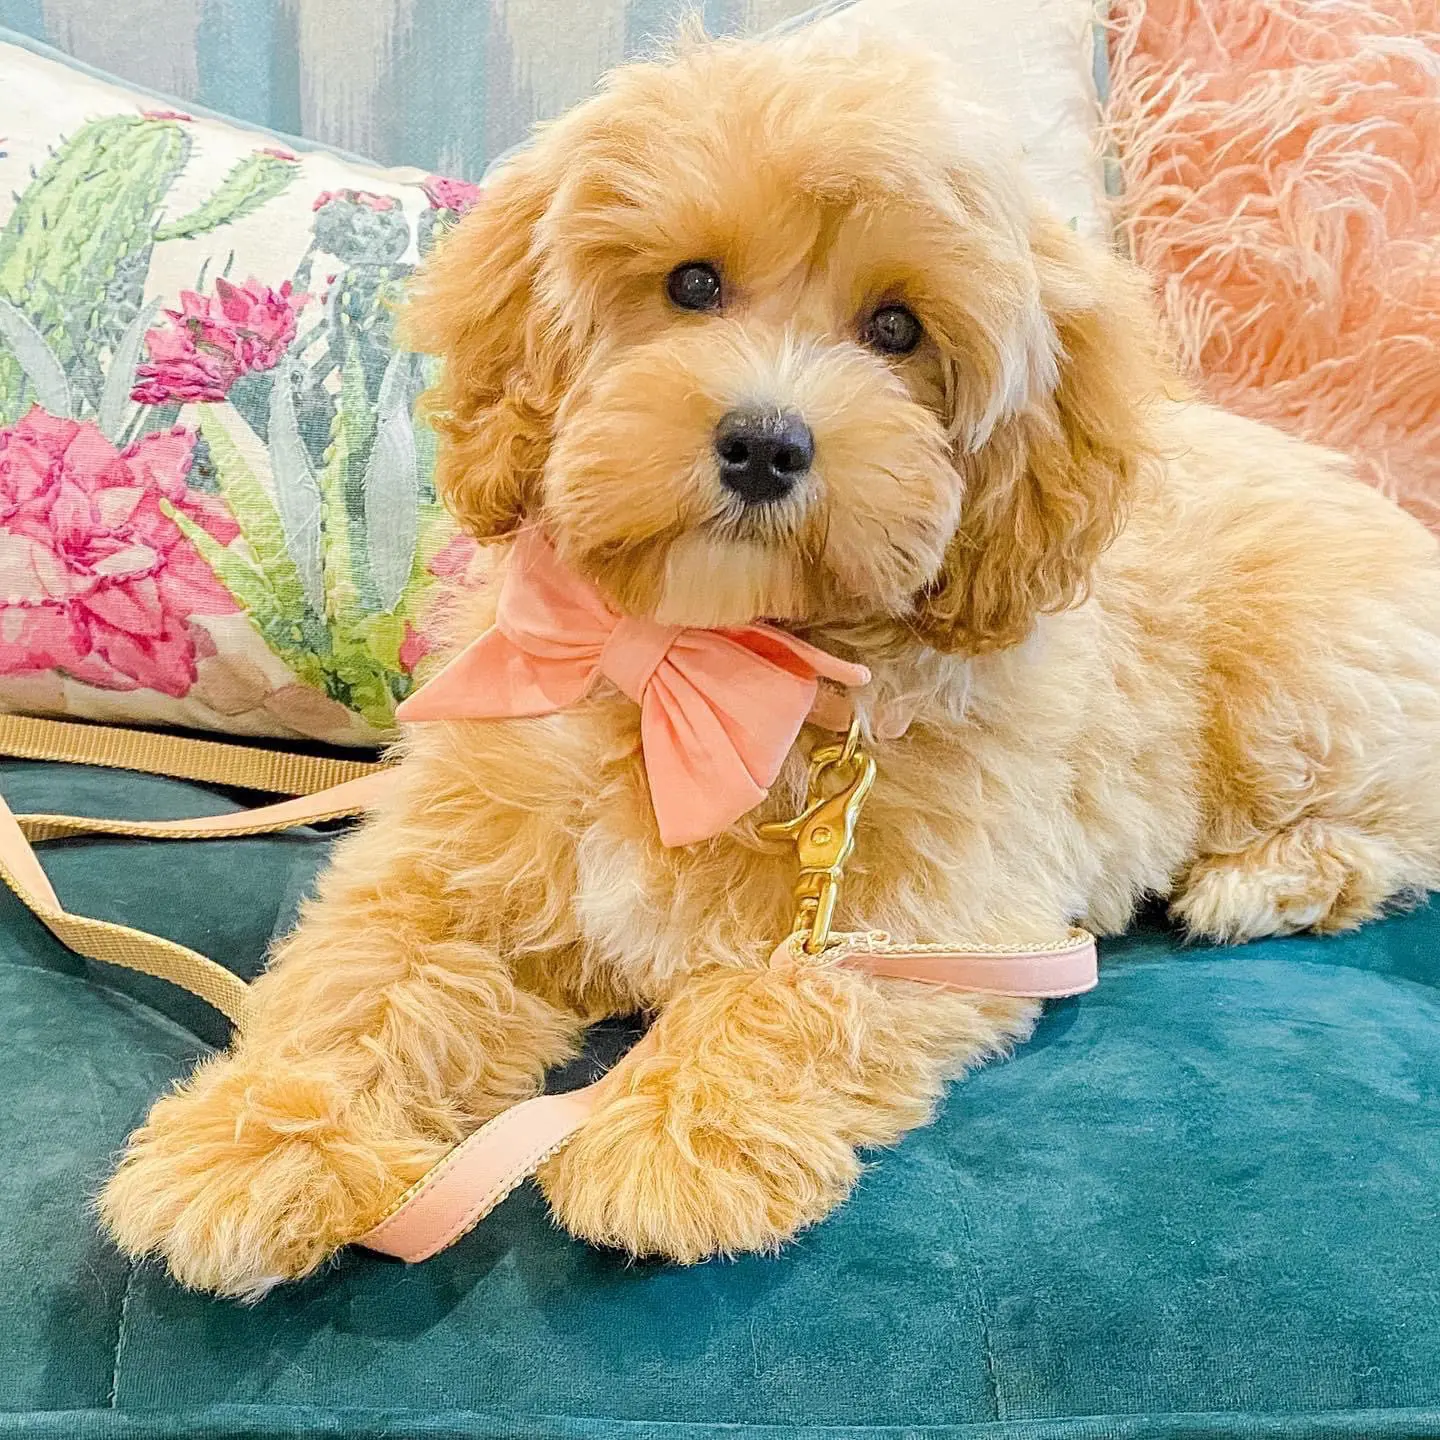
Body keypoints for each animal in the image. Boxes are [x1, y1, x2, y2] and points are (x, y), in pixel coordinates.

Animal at [101, 33, 1440, 1301]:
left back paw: (1267, 881)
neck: (696, 660)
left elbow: (790, 1000)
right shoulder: (450, 861)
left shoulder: (925, 915)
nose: (763, 441)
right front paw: (256, 1145)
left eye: (897, 328)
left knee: (1396, 827)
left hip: (1297, 687)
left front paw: (679, 1144)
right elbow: (366, 980)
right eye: (692, 284)